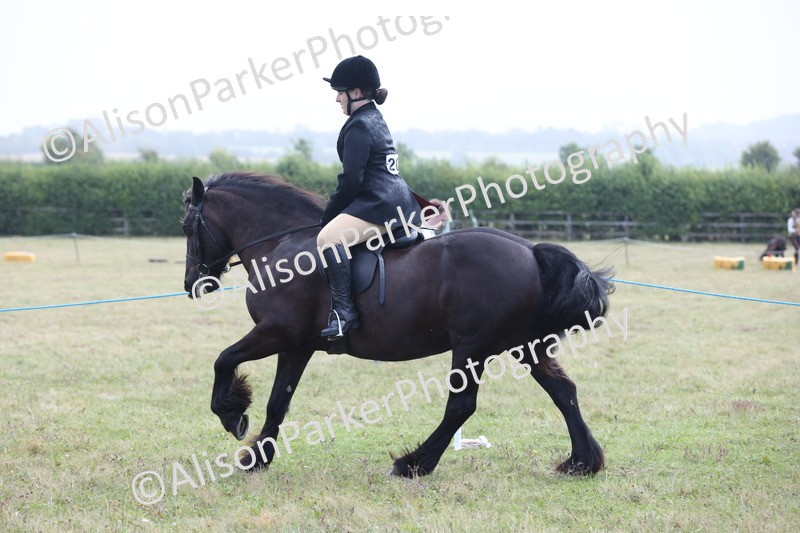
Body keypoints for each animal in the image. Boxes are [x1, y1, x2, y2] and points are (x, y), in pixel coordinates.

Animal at [182, 171, 614, 477]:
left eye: (187, 227)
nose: (192, 284)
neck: (282, 248)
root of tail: (529, 250)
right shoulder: (297, 345)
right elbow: (277, 402)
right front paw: (258, 457)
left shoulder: (275, 332)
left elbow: (223, 360)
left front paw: (232, 414)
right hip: (524, 346)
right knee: (563, 391)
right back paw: (581, 463)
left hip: (473, 348)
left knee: (461, 406)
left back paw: (413, 464)